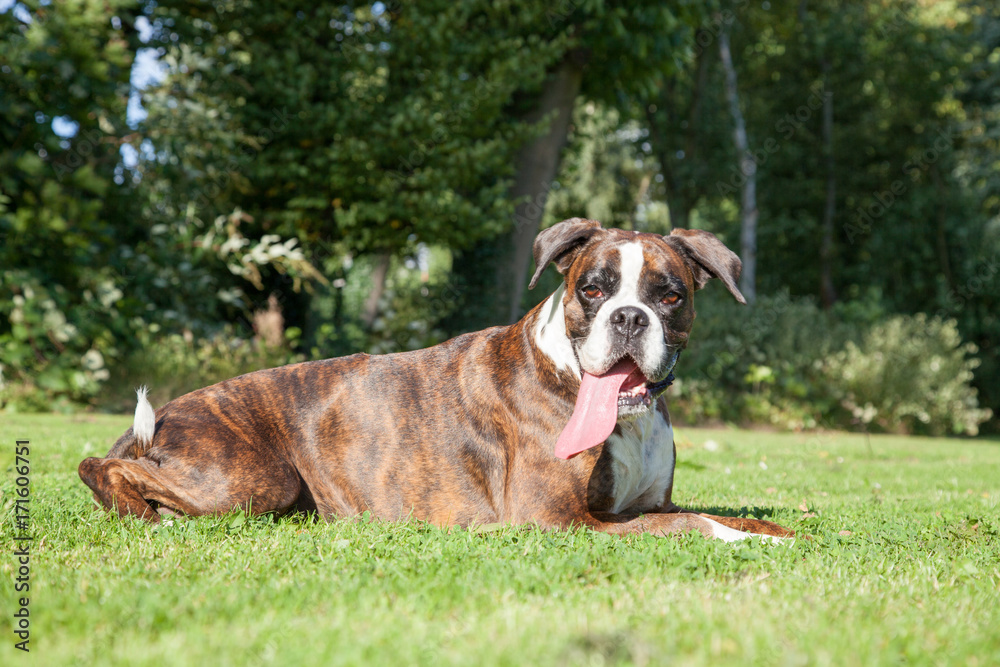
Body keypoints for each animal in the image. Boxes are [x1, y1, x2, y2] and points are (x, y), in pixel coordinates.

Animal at [78, 219, 792, 544]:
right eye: (592, 288)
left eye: (669, 296)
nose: (628, 316)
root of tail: (171, 411)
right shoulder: (555, 520)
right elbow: (692, 524)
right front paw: (740, 539)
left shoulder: (644, 504)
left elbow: (709, 511)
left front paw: (774, 530)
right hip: (250, 478)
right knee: (100, 467)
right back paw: (141, 511)